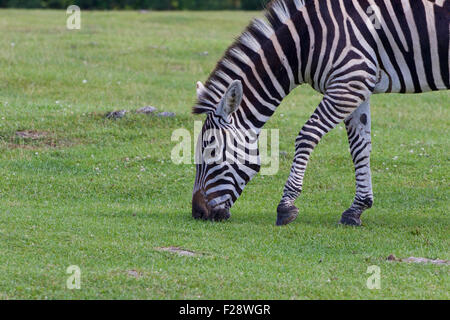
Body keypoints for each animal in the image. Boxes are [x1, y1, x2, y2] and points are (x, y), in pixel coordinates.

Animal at [191, 0, 450, 226]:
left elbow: (307, 135)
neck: (306, 42)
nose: (197, 213)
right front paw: (356, 209)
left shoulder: (348, 83)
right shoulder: (358, 87)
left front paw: (286, 206)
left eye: (211, 153)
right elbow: (360, 147)